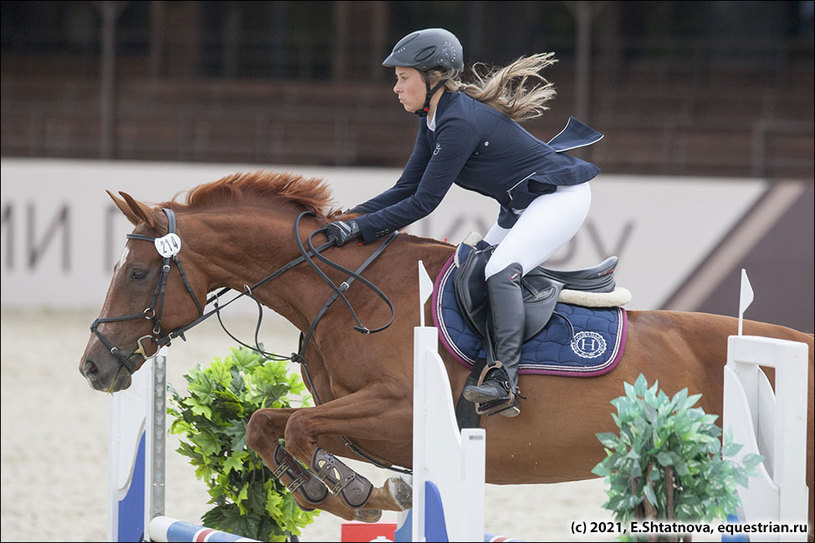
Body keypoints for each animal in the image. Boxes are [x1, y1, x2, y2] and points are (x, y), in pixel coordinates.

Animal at [79, 172, 812, 528]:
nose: (93, 366)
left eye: (138, 273)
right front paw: (353, 493)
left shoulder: (401, 410)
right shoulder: (365, 421)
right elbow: (269, 425)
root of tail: (793, 344)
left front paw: (355, 490)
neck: (346, 293)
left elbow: (294, 426)